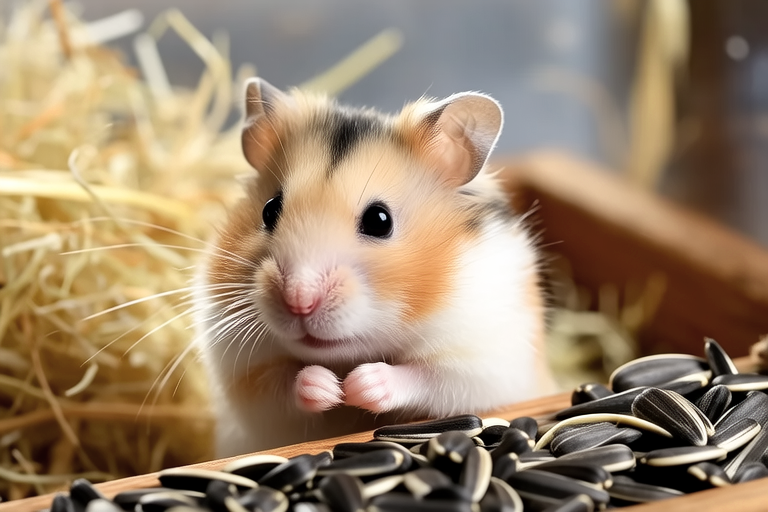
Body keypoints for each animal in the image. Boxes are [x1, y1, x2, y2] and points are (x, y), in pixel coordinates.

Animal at [193, 78, 555, 457]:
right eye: (269, 210)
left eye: (380, 221)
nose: (299, 300)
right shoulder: (242, 374)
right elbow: (283, 384)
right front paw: (330, 388)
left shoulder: (483, 362)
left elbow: (427, 378)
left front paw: (357, 385)